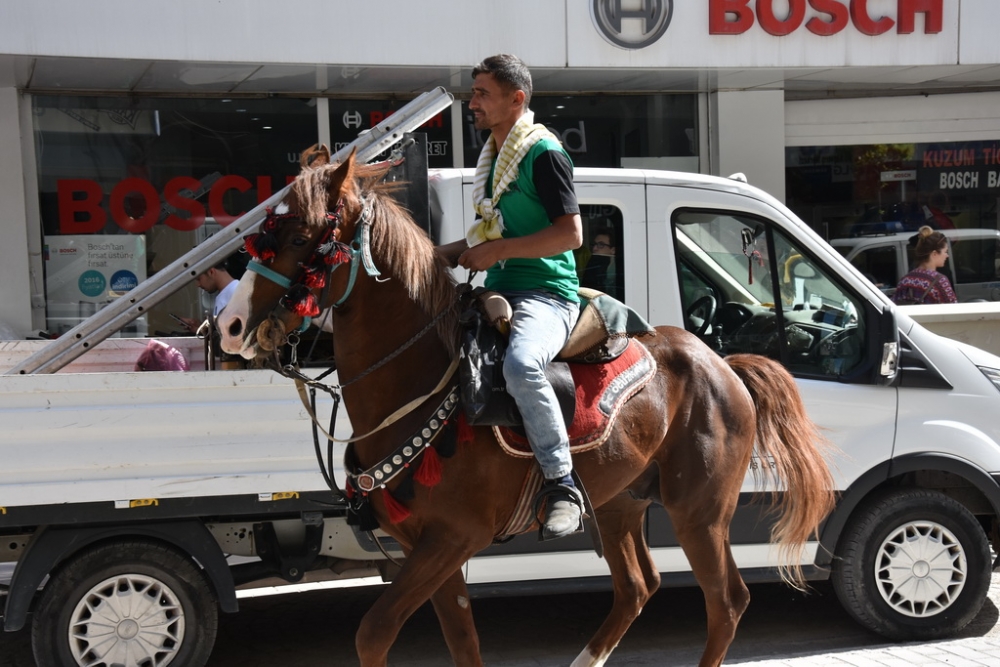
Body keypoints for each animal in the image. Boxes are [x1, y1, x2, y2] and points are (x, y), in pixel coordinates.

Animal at [219, 149, 836, 667]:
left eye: (301, 235)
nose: (228, 324)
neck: (419, 384)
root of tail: (723, 363)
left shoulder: (454, 539)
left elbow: (374, 633)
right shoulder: (430, 547)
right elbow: (461, 643)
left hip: (699, 510)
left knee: (726, 600)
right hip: (622, 502)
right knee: (639, 586)